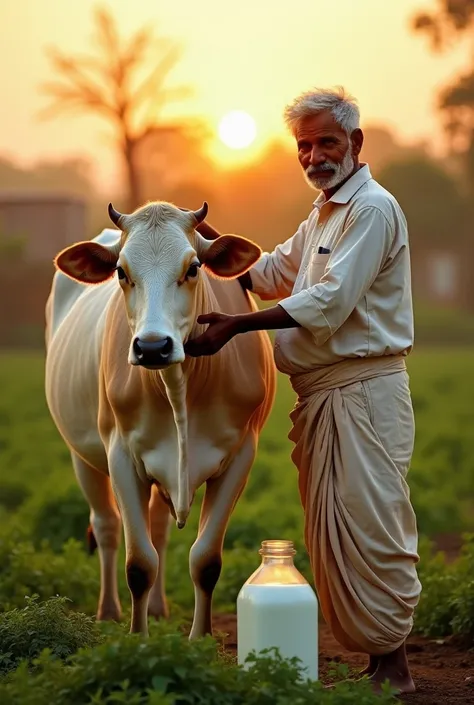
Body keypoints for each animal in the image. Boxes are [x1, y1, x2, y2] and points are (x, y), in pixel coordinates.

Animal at [43, 201, 278, 636]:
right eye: (121, 272)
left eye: (194, 267)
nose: (153, 347)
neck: (178, 387)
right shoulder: (120, 454)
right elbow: (138, 563)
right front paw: (137, 639)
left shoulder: (240, 456)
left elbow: (205, 560)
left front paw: (200, 638)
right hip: (82, 455)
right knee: (106, 527)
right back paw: (108, 611)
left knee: (158, 529)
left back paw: (156, 608)